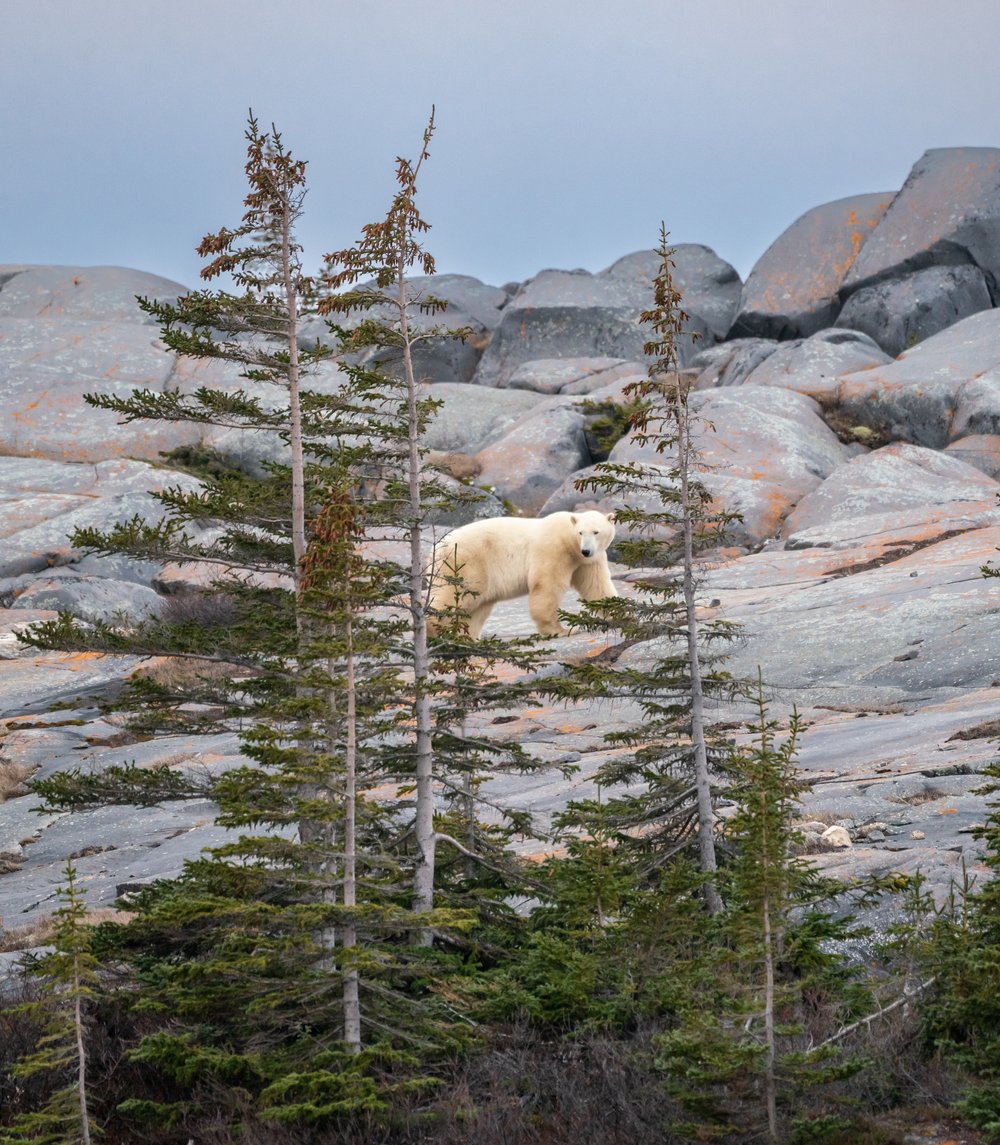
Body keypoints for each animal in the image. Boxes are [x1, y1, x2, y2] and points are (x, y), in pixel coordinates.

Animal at [426, 508, 618, 636]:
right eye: (580, 533)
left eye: (596, 532)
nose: (586, 550)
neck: (569, 541)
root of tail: (435, 550)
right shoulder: (553, 550)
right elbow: (546, 585)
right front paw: (560, 630)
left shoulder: (588, 562)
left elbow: (596, 586)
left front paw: (618, 616)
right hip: (466, 563)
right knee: (454, 593)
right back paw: (433, 628)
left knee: (476, 609)